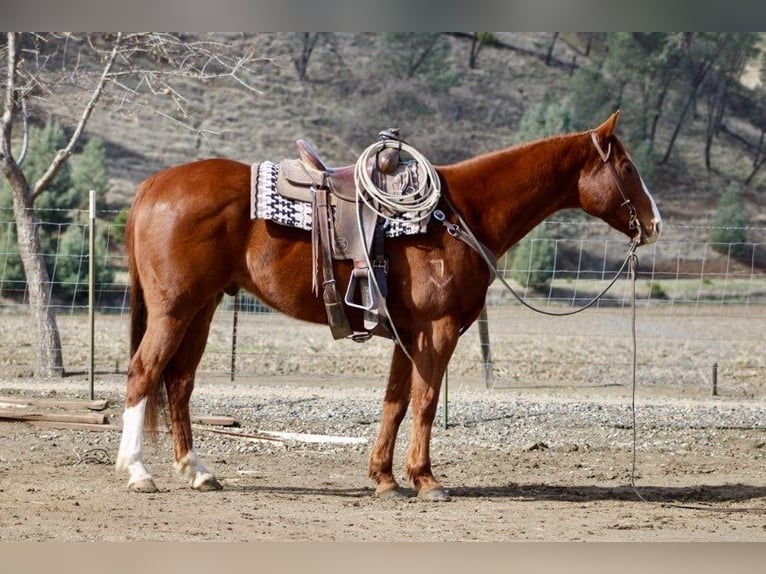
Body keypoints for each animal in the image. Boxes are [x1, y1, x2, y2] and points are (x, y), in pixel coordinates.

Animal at [115, 111, 661, 500]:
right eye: (627, 168)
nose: (655, 224)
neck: (459, 214)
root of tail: (153, 186)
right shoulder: (437, 331)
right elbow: (425, 402)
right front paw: (426, 480)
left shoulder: (409, 333)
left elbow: (395, 402)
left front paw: (384, 478)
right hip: (174, 309)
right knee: (145, 372)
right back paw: (138, 471)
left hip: (202, 309)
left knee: (179, 382)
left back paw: (196, 471)